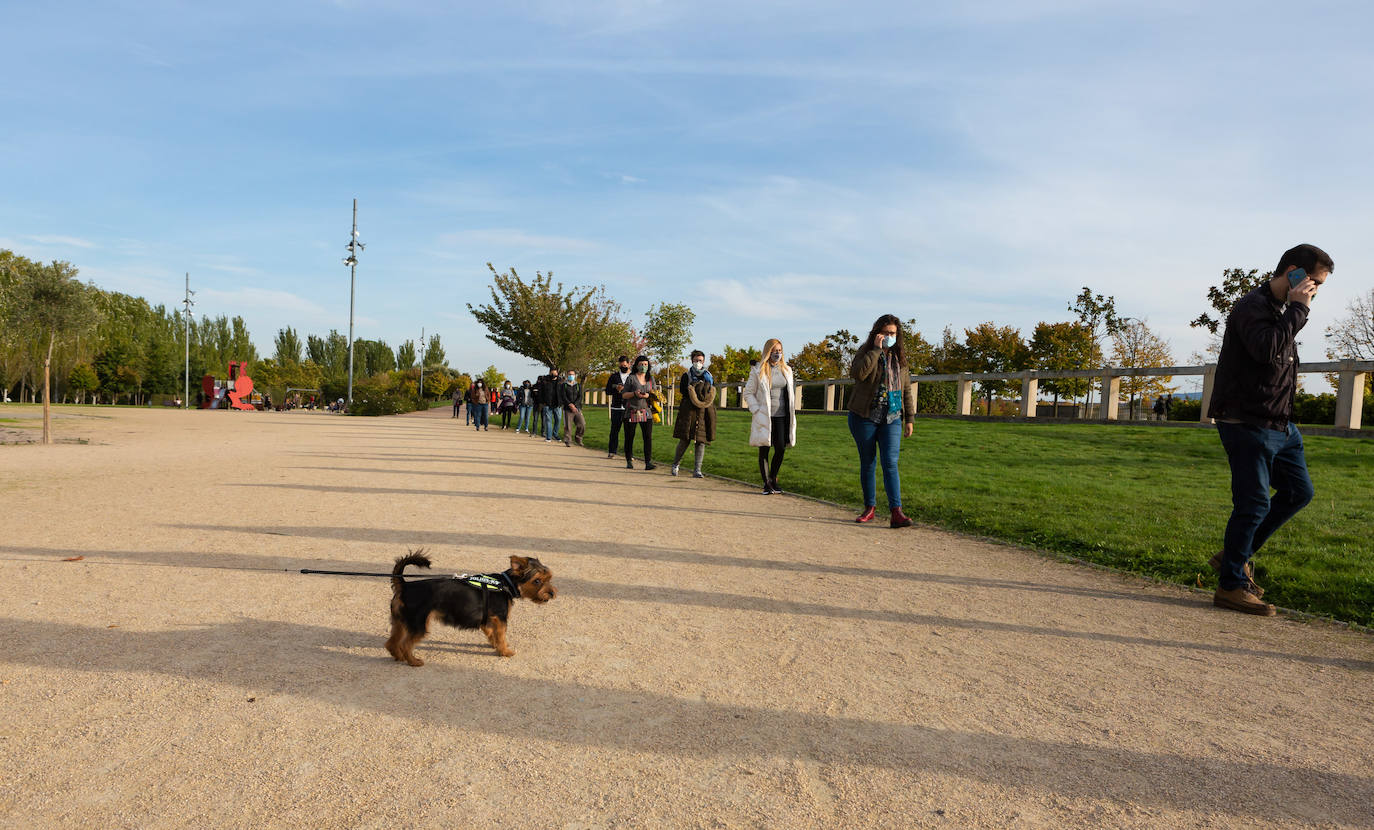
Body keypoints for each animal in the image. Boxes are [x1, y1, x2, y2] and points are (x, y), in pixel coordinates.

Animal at [384, 546, 555, 665]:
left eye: (549, 578)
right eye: (537, 581)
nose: (552, 593)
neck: (504, 583)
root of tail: (405, 586)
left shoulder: (488, 621)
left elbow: (492, 634)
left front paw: (496, 646)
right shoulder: (500, 619)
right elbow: (501, 636)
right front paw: (505, 651)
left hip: (400, 622)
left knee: (391, 642)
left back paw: (399, 657)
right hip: (418, 624)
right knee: (405, 644)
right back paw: (413, 661)